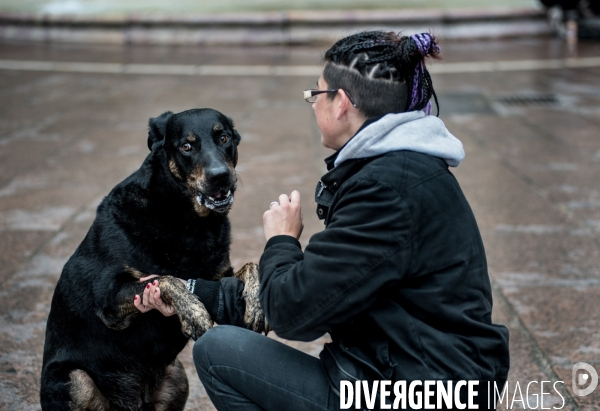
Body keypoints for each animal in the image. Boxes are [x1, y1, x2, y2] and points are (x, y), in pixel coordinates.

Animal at [40, 108, 268, 411]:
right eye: (186, 147)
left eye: (224, 138)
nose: (220, 177)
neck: (187, 220)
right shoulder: (110, 301)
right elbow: (166, 278)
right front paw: (195, 315)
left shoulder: (219, 277)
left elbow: (252, 266)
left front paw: (256, 305)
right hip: (76, 381)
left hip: (177, 376)